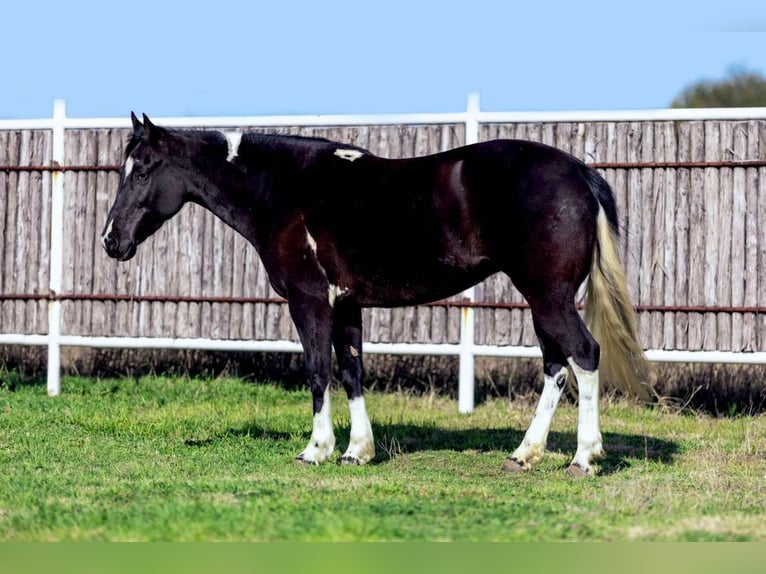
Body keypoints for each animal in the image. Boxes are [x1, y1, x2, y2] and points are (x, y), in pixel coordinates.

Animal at [101, 113, 654, 476]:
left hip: (550, 298)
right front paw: (357, 451)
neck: (288, 189)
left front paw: (316, 450)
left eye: (143, 170)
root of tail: (579, 172)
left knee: (584, 355)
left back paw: (584, 458)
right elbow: (351, 372)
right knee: (556, 368)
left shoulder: (309, 301)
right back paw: (525, 454)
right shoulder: (347, 305)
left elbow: (318, 371)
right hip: (543, 302)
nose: (111, 240)